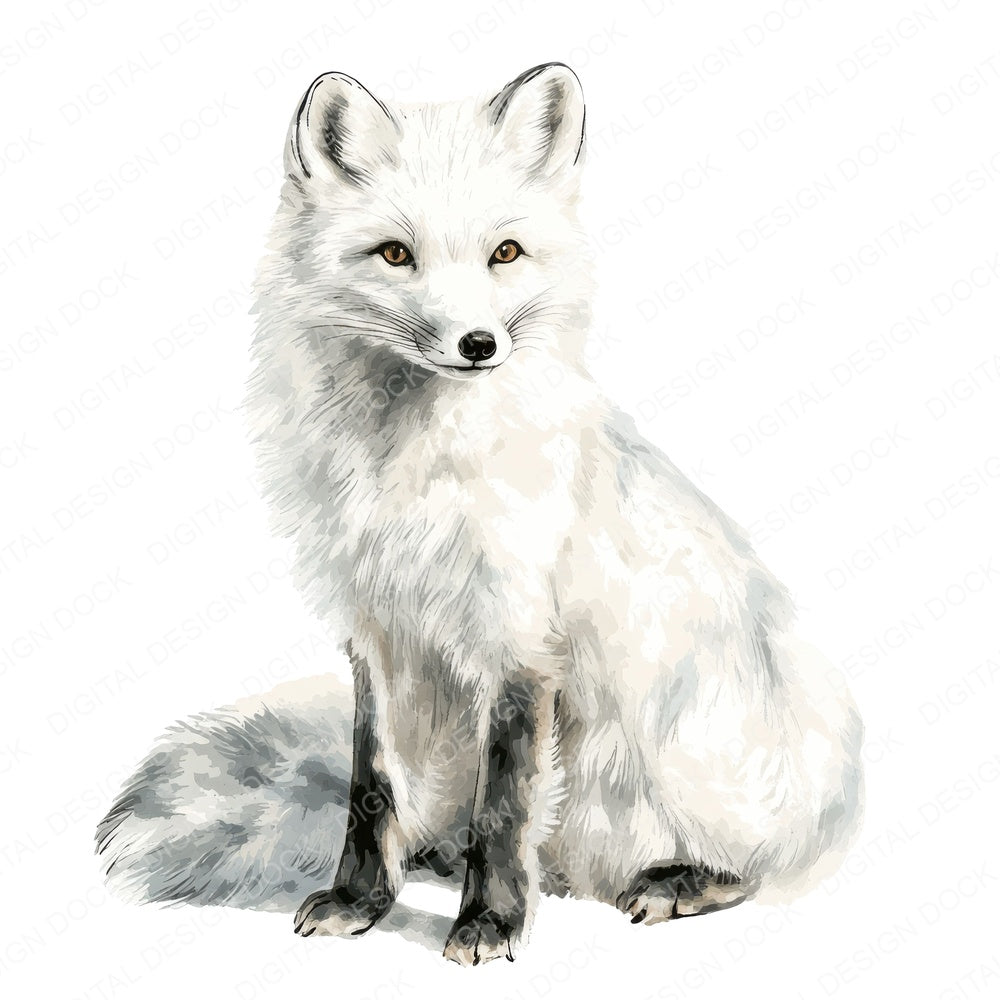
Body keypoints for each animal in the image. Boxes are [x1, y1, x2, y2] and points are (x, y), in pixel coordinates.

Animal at [96, 63, 864, 966]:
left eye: (505, 252)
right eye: (396, 253)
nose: (478, 345)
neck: (409, 473)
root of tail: (835, 802)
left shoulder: (521, 641)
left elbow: (505, 807)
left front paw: (488, 923)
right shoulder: (378, 632)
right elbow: (371, 789)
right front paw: (362, 901)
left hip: (658, 762)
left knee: (745, 865)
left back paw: (677, 880)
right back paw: (439, 853)